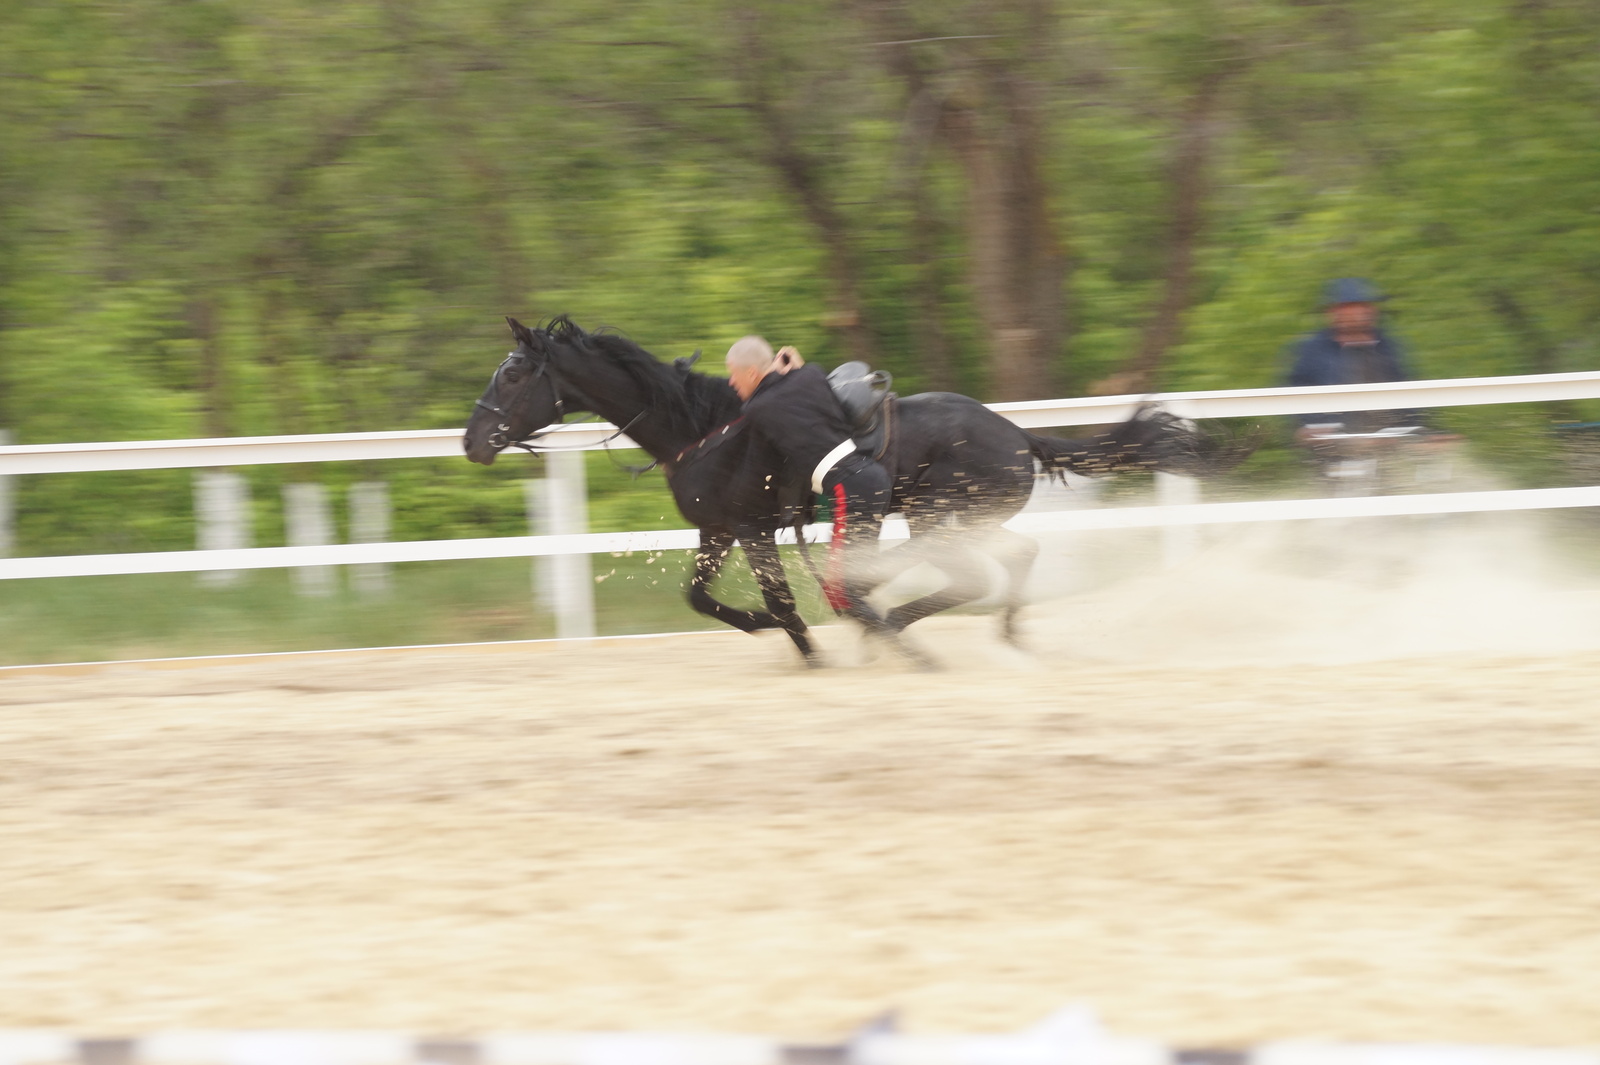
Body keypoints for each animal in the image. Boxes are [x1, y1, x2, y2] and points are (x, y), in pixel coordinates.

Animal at [464, 315, 1235, 665]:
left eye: (513, 372)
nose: (473, 441)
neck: (707, 426)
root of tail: (1019, 435)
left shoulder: (752, 529)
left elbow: (777, 598)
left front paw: (806, 645)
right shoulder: (719, 529)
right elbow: (700, 597)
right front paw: (773, 628)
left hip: (939, 518)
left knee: (960, 574)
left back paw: (890, 627)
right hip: (955, 519)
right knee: (1012, 558)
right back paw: (959, 630)